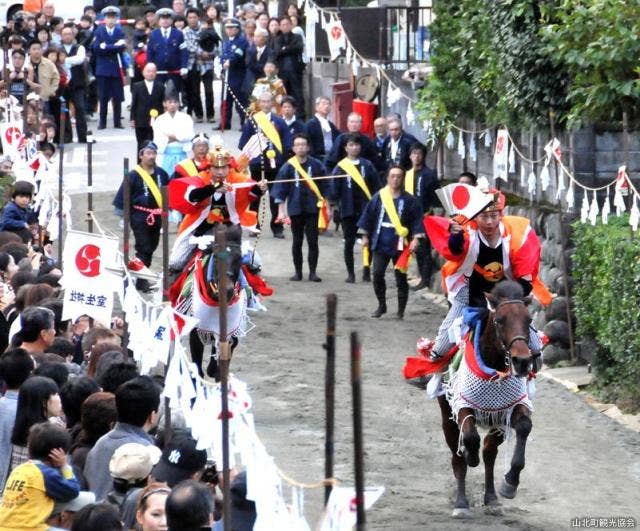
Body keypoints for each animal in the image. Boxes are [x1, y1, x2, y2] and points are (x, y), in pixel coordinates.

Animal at [438, 282, 536, 520]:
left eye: (528, 320)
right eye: (500, 320)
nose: (522, 361)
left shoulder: (510, 407)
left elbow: (524, 427)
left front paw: (510, 483)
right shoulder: (463, 405)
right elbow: (470, 438)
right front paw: (470, 456)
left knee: (490, 453)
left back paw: (491, 499)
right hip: (447, 415)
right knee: (457, 457)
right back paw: (461, 503)